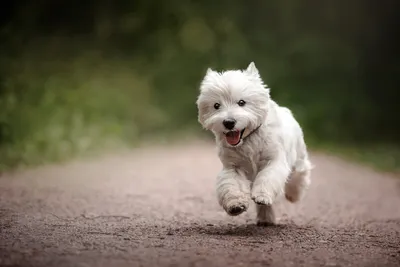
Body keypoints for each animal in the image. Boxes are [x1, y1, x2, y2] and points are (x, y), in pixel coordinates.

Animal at [196, 62, 312, 226]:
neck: (248, 139)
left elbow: (267, 178)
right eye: (216, 105)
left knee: (300, 173)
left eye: (242, 102)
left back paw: (293, 194)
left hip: (299, 156)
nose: (229, 122)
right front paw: (235, 205)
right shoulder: (233, 166)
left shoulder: (274, 160)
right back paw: (265, 219)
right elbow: (233, 184)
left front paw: (262, 196)